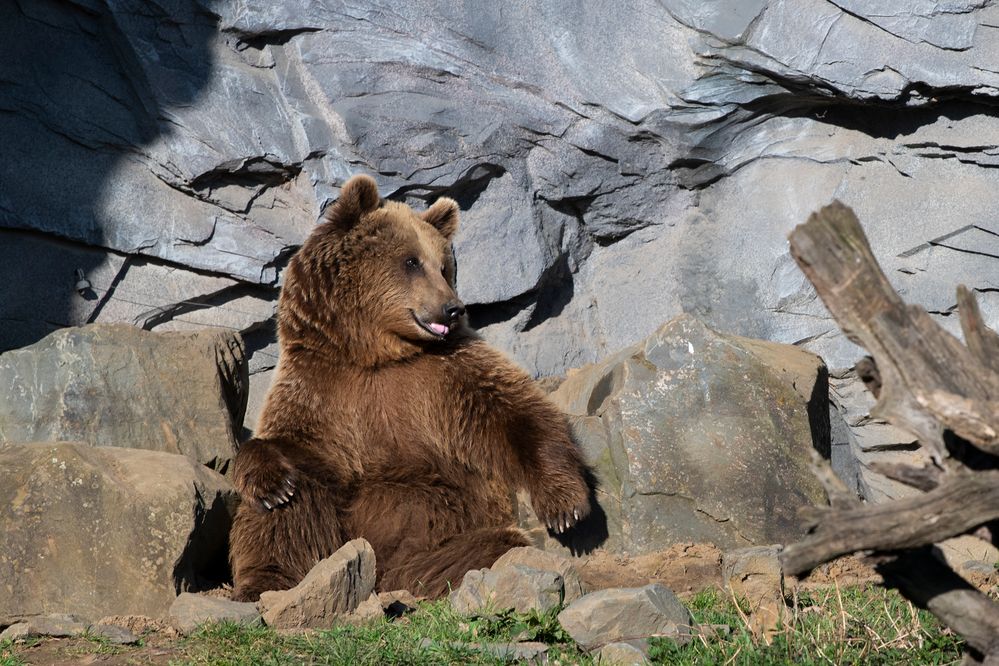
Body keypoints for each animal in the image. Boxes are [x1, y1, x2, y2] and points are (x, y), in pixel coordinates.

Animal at [230, 174, 592, 600]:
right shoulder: (321, 386)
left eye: (444, 266)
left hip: (452, 517)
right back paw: (266, 581)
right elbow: (290, 448)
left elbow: (518, 414)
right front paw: (272, 483)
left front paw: (565, 507)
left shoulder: (447, 375)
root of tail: (381, 569)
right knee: (293, 502)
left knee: (484, 542)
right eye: (411, 261)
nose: (453, 308)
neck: (377, 352)